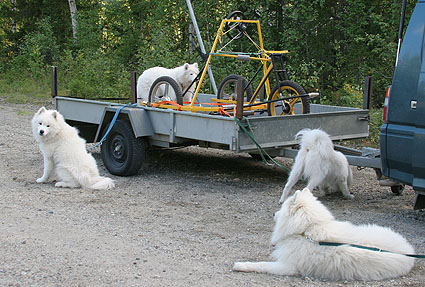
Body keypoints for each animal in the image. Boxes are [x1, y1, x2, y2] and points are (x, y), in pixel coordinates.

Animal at [232, 188, 414, 282]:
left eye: (282, 208)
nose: (273, 214)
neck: (306, 231)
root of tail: (409, 250)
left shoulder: (289, 266)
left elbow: (262, 265)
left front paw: (241, 265)